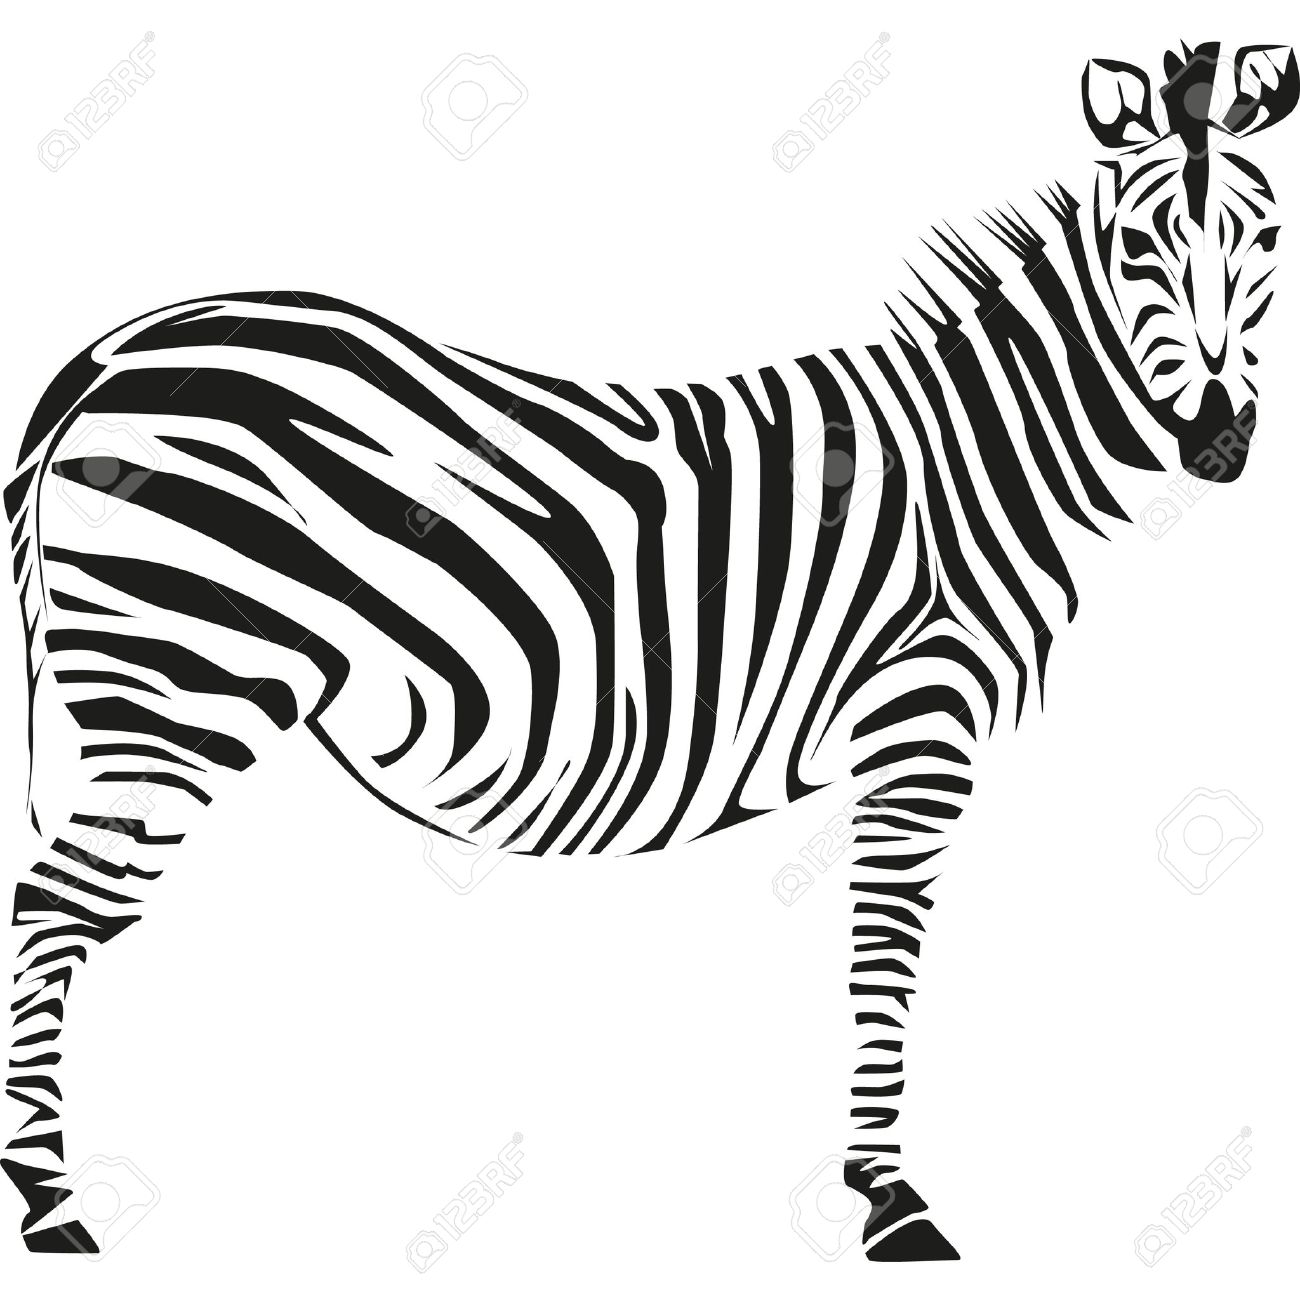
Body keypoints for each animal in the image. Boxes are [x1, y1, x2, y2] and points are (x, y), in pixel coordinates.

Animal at [4, 40, 1294, 1261]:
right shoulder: (919, 720)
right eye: (1137, 249)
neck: (978, 457)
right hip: (180, 692)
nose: (1218, 439)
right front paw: (888, 1199)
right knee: (48, 907)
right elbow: (886, 948)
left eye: (1268, 237)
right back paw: (53, 1205)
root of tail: (118, 352)